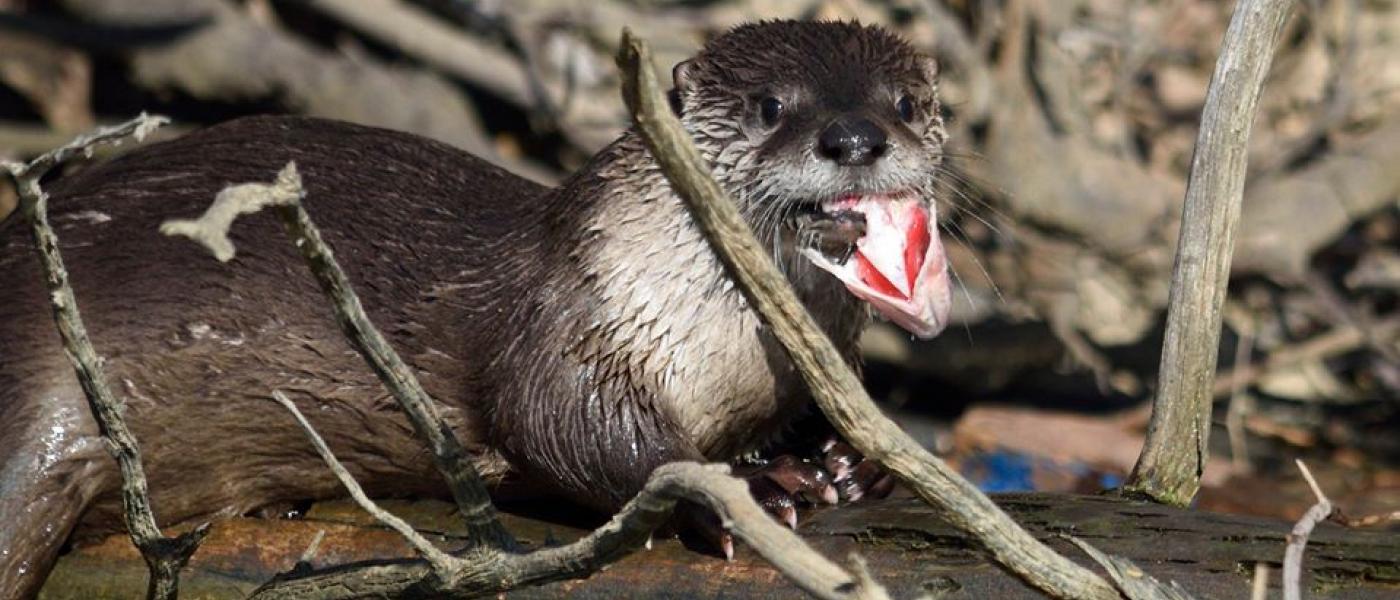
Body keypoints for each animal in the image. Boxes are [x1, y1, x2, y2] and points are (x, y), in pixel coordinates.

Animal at [0, 18, 952, 593]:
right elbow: (568, 429)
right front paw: (758, 487)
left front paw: (845, 461)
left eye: (908, 105)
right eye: (769, 107)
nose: (856, 138)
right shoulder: (572, 324)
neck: (724, 356)